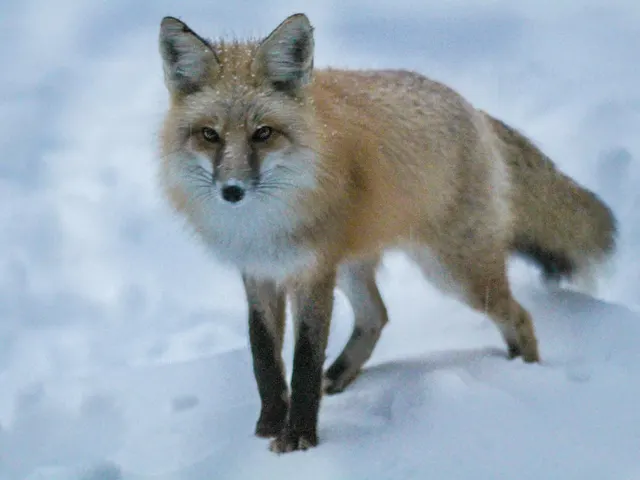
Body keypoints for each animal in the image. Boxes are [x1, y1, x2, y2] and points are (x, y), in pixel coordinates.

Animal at [157, 13, 617, 453]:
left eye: (263, 134)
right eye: (210, 135)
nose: (232, 190)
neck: (260, 225)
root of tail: (471, 108)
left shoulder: (313, 272)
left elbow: (304, 360)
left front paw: (300, 439)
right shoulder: (259, 274)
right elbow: (264, 359)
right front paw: (269, 425)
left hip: (454, 274)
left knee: (519, 316)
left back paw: (524, 378)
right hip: (355, 266)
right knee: (376, 316)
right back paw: (339, 377)